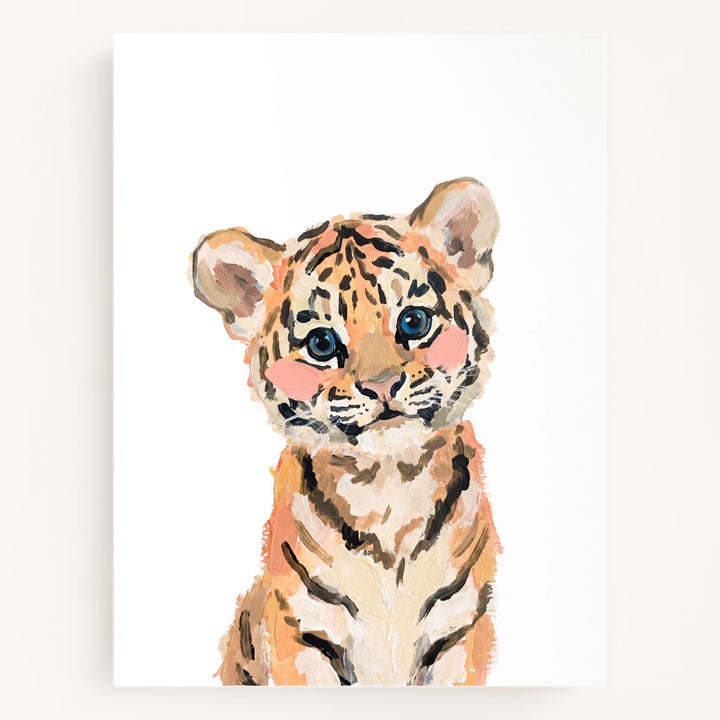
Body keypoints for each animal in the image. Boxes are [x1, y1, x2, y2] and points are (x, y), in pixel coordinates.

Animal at [190, 177, 502, 686]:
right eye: (322, 343)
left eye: (413, 321)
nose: (382, 384)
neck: (389, 492)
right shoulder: (301, 634)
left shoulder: (460, 632)